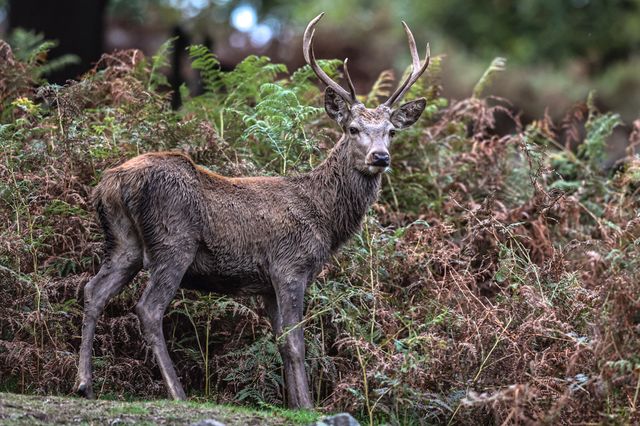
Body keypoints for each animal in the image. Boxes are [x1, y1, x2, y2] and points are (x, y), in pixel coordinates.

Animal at [75, 12, 430, 409]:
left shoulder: (267, 283)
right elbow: (296, 342)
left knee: (94, 291)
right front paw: (308, 406)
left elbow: (281, 342)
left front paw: (294, 403)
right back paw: (177, 393)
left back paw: (84, 383)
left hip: (124, 242)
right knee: (148, 309)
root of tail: (112, 182)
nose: (380, 157)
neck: (325, 219)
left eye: (391, 132)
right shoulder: (290, 267)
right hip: (173, 241)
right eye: (353, 128)